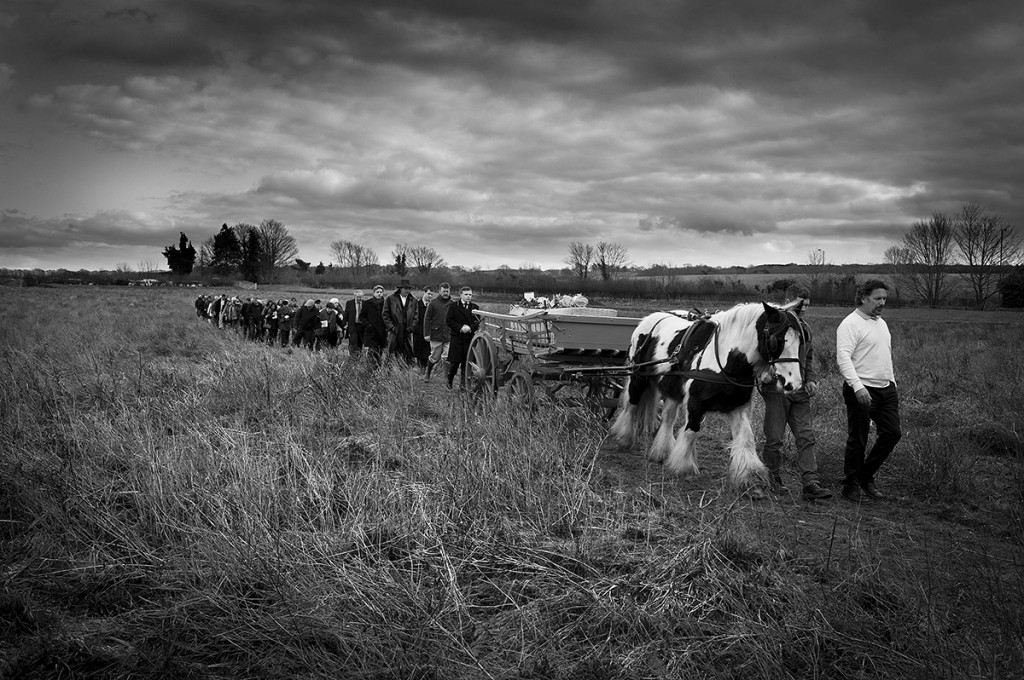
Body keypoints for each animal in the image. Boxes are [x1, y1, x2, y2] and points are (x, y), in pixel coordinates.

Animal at [606, 303, 806, 489]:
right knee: (631, 405)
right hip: (638, 378)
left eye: (800, 341)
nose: (794, 383)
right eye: (777, 340)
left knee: (668, 418)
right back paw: (624, 439)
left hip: (672, 391)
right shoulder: (695, 403)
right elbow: (691, 432)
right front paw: (684, 467)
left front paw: (750, 476)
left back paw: (661, 452)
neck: (726, 360)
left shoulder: (738, 406)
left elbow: (746, 437)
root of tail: (648, 319)